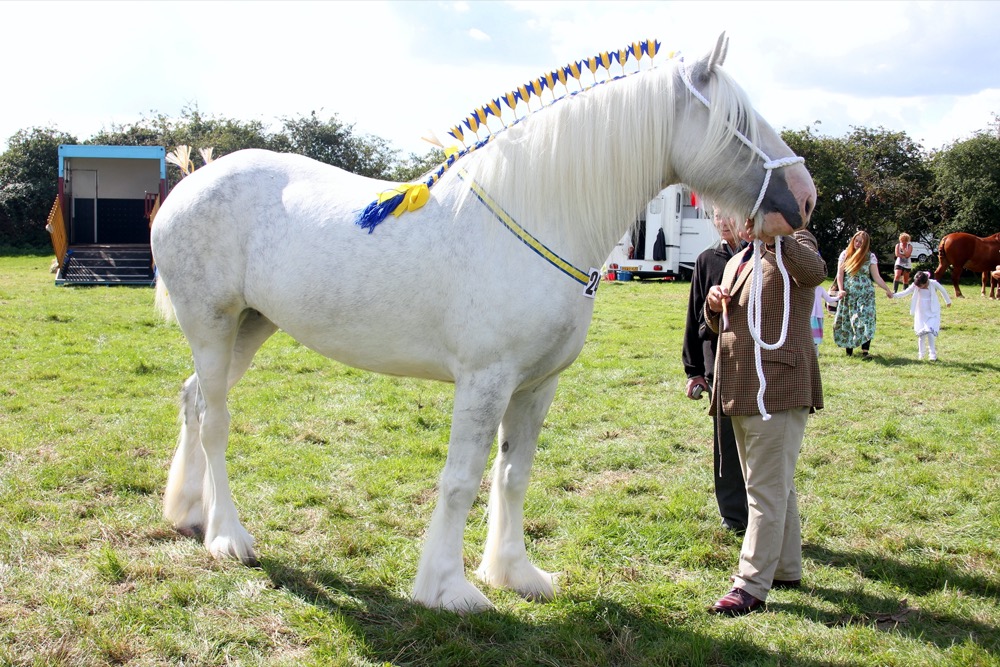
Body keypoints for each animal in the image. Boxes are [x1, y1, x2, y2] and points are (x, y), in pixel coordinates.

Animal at [152, 34, 816, 612]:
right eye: (738, 121)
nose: (805, 196)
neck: (538, 215)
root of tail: (190, 182)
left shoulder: (536, 385)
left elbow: (513, 475)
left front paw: (515, 573)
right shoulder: (485, 381)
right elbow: (462, 478)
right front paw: (448, 589)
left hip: (251, 325)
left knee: (191, 400)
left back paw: (188, 513)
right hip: (213, 326)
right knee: (214, 421)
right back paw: (228, 536)